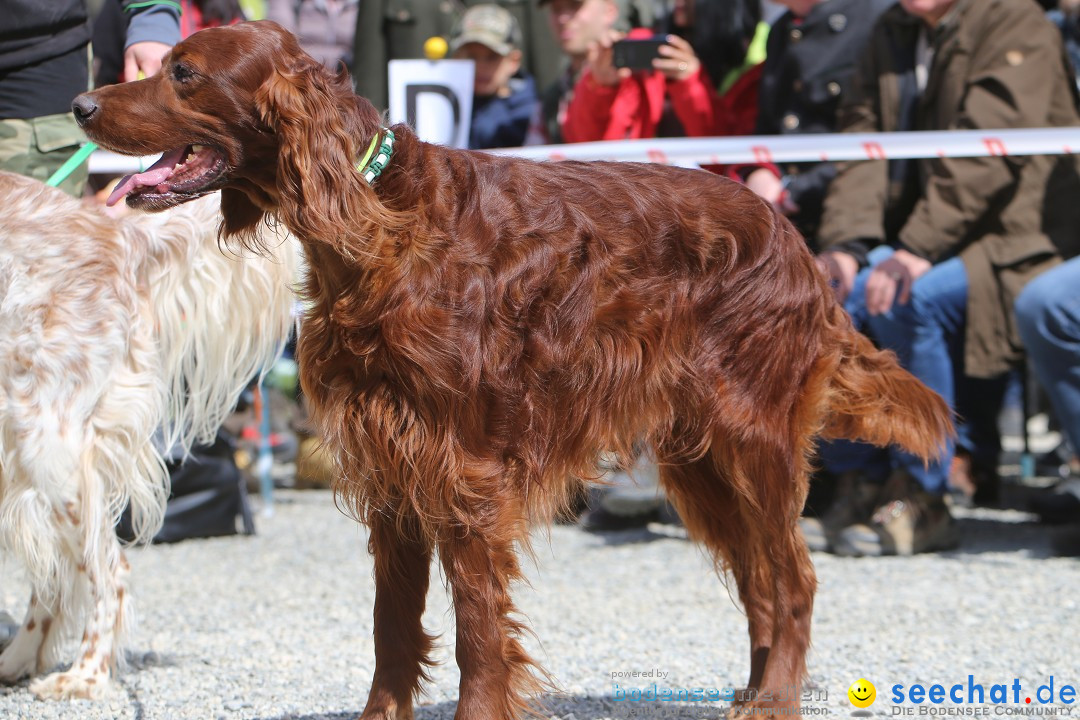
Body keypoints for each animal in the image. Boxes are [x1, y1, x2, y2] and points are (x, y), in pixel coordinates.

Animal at [76, 22, 950, 720]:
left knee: (794, 579)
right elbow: (392, 626)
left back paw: (773, 700)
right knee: (763, 583)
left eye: (185, 73)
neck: (379, 221)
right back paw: (759, 687)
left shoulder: (466, 474)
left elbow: (477, 629)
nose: (82, 106)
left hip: (752, 439)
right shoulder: (392, 467)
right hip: (701, 461)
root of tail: (795, 241)